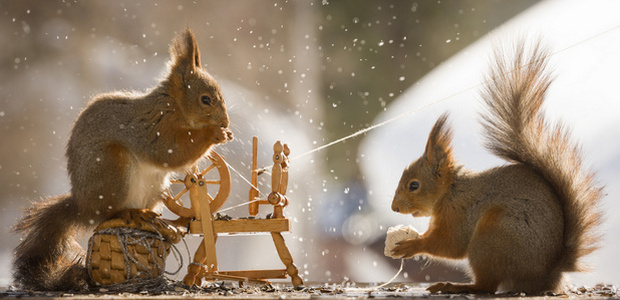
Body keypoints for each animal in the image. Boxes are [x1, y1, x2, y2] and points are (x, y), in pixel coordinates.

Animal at [12, 27, 235, 290]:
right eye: (205, 99)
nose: (225, 122)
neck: (173, 106)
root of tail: (82, 206)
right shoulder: (153, 128)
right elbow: (171, 150)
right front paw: (214, 133)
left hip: (156, 187)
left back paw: (156, 218)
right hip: (113, 167)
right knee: (109, 213)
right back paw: (130, 214)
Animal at [392, 40, 600, 296]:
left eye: (414, 185)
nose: (394, 208)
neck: (451, 190)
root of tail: (547, 275)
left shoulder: (459, 213)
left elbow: (451, 245)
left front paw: (412, 244)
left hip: (492, 236)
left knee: (486, 286)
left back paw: (453, 285)